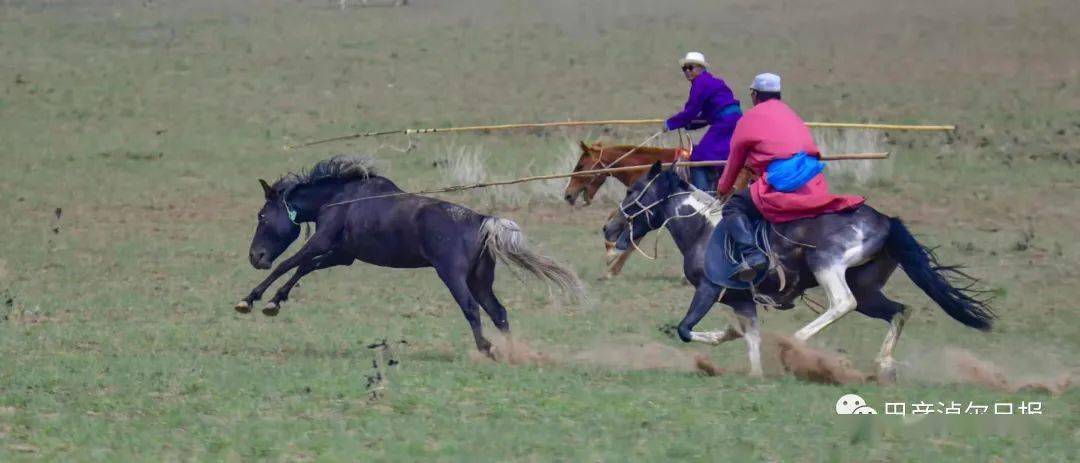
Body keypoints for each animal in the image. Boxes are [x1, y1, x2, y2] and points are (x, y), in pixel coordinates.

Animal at [238, 156, 583, 358]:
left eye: (262, 216)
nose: (256, 256)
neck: (340, 198)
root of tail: (483, 220)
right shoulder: (343, 254)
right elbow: (304, 269)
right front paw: (274, 302)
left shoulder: (322, 242)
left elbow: (288, 264)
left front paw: (249, 300)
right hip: (480, 280)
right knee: (498, 312)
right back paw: (512, 352)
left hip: (453, 276)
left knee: (472, 308)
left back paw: (487, 349)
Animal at [613, 161, 989, 379]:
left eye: (634, 190)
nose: (608, 228)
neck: (705, 229)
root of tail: (885, 220)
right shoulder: (742, 301)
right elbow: (750, 337)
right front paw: (753, 371)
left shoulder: (708, 289)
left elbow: (685, 329)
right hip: (869, 290)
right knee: (900, 311)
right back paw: (884, 365)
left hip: (828, 266)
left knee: (842, 303)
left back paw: (796, 345)